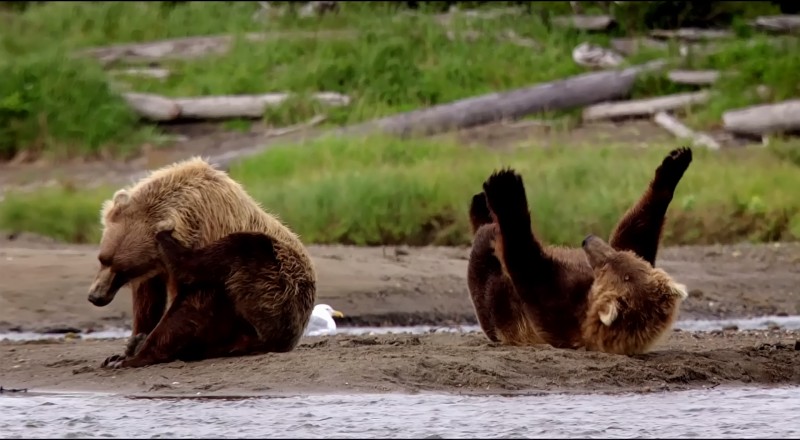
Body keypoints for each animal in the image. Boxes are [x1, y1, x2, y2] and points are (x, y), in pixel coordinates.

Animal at [85, 156, 316, 370]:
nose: (96, 296)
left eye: (123, 269)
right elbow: (148, 300)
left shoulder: (210, 238)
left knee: (244, 251)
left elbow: (192, 305)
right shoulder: (156, 271)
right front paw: (127, 347)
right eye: (103, 259)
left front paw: (136, 355)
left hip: (279, 287)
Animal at [468, 146, 692, 348]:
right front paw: (675, 163)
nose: (588, 240)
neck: (587, 291)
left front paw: (506, 189)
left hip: (495, 302)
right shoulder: (635, 251)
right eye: (618, 255)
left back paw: (487, 216)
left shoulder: (560, 312)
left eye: (606, 264)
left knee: (485, 273)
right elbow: (636, 230)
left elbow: (528, 268)